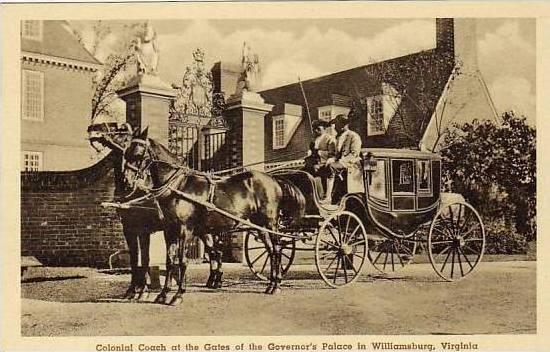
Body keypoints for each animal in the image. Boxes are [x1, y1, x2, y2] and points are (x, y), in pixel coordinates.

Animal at [89, 124, 227, 300]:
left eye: (117, 129)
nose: (93, 129)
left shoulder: (144, 229)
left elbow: (145, 259)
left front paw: (143, 290)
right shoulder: (130, 229)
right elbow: (135, 259)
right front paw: (133, 290)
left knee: (216, 252)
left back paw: (215, 280)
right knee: (214, 252)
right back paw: (214, 280)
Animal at [122, 128, 308, 304]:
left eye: (138, 154)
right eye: (126, 153)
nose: (126, 182)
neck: (179, 186)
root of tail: (274, 179)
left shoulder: (185, 230)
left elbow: (182, 261)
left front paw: (178, 294)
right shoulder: (170, 230)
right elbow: (170, 261)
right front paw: (163, 294)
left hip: (270, 223)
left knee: (276, 250)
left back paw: (276, 285)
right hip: (259, 226)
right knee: (270, 250)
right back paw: (271, 284)